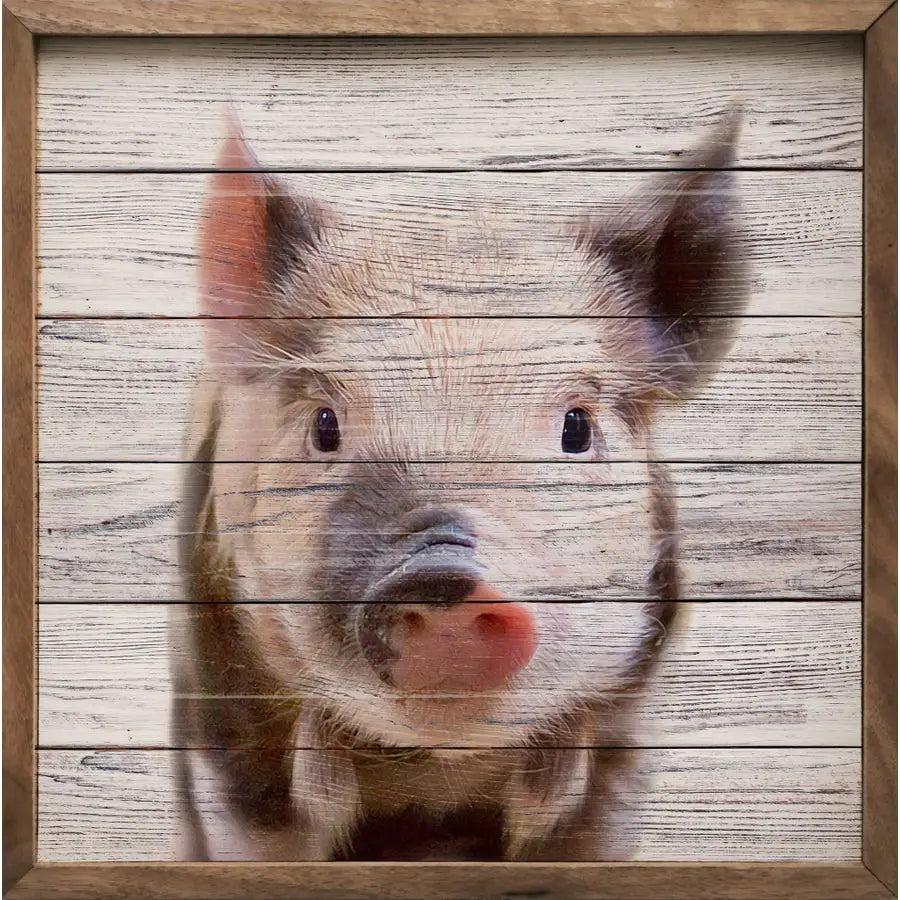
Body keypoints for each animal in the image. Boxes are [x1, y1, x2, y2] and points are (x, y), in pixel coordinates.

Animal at [171, 111, 748, 862]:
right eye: (326, 426)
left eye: (577, 427)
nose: (444, 574)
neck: (437, 785)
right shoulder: (227, 724)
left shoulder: (621, 739)